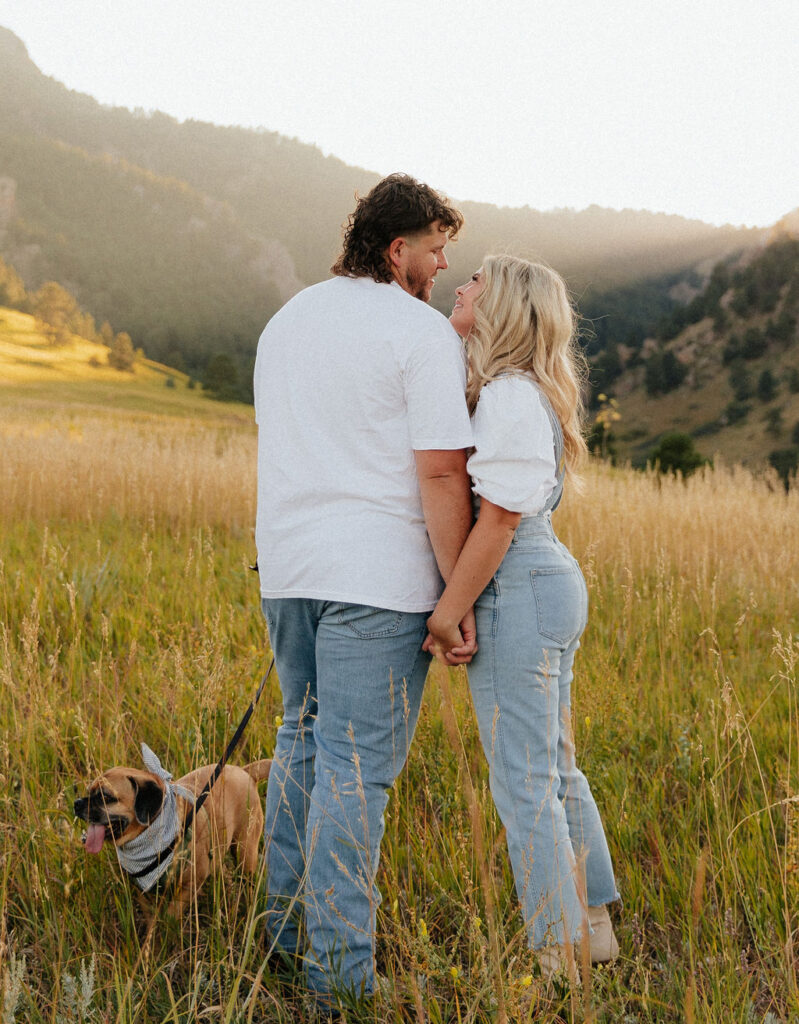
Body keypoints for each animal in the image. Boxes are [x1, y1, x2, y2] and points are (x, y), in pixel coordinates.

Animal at [73, 745, 272, 913]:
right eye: (89, 791)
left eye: (106, 797)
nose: (77, 803)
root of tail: (245, 771)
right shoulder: (143, 894)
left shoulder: (188, 887)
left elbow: (171, 916)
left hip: (245, 852)